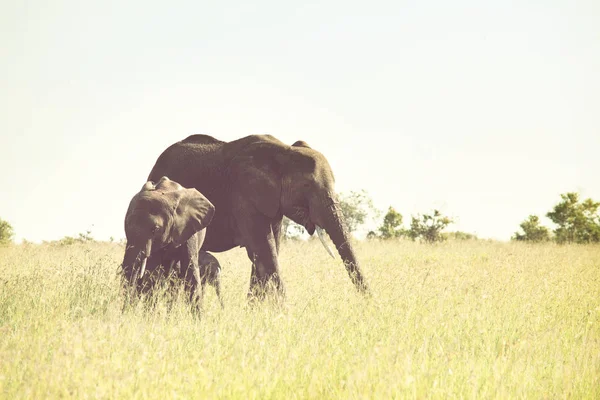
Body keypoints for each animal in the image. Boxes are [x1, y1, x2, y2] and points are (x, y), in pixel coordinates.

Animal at [148, 134, 368, 300]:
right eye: (307, 186)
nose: (369, 304)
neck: (284, 152)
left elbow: (267, 251)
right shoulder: (243, 196)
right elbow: (265, 251)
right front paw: (284, 313)